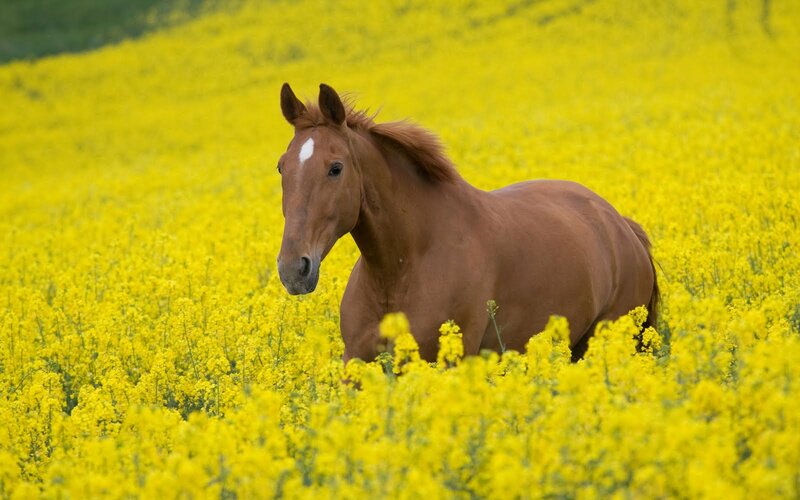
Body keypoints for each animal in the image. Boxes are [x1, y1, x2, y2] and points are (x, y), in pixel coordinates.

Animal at [276, 83, 659, 363]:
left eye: (335, 168)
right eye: (282, 166)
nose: (294, 269)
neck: (401, 269)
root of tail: (621, 225)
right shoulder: (356, 363)